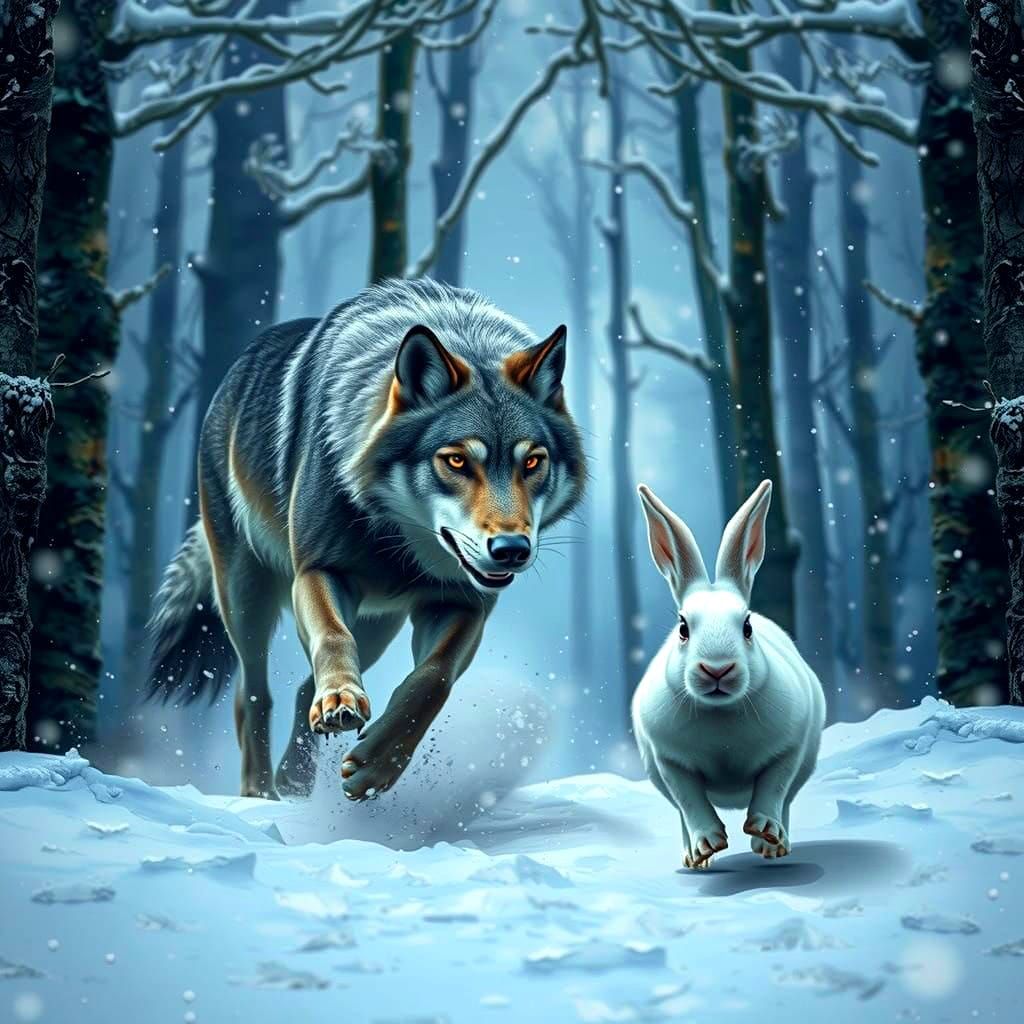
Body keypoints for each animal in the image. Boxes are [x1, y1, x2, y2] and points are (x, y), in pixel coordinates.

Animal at [148, 278, 585, 801]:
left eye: (533, 462)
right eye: (457, 461)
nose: (511, 551)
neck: (399, 543)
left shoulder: (463, 602)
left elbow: (432, 679)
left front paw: (377, 764)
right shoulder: (317, 572)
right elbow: (333, 638)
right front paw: (340, 699)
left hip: (378, 624)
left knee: (301, 689)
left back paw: (295, 779)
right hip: (245, 597)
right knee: (252, 693)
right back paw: (260, 792)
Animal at [631, 479, 826, 869]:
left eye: (747, 626)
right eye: (683, 628)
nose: (717, 668)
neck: (720, 715)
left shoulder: (790, 747)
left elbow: (774, 787)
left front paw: (764, 831)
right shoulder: (668, 760)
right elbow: (689, 800)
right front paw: (707, 845)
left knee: (787, 800)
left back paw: (775, 848)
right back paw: (694, 860)